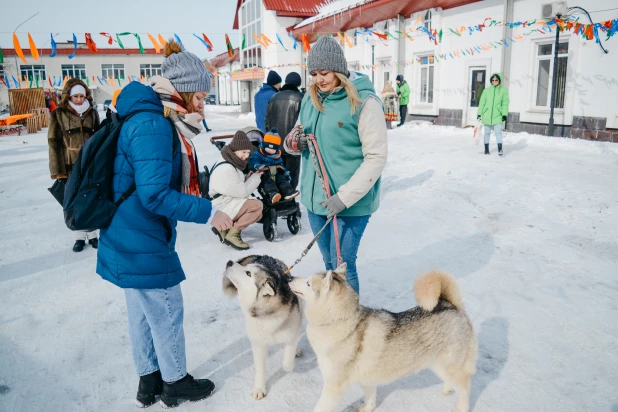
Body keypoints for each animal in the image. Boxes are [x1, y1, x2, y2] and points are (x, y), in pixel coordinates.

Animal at [223, 254, 302, 400]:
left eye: (248, 273)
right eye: (246, 268)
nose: (229, 262)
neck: (268, 315)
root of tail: (264, 256)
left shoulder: (290, 336)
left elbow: (287, 363)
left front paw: (290, 364)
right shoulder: (258, 344)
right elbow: (260, 368)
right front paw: (259, 388)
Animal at [288, 264, 476, 412]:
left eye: (308, 283)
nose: (289, 277)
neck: (339, 320)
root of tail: (451, 305)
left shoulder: (334, 387)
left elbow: (320, 407)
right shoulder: (366, 377)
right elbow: (370, 397)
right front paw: (368, 408)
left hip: (450, 364)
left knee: (465, 388)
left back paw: (462, 407)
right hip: (439, 364)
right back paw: (447, 389)